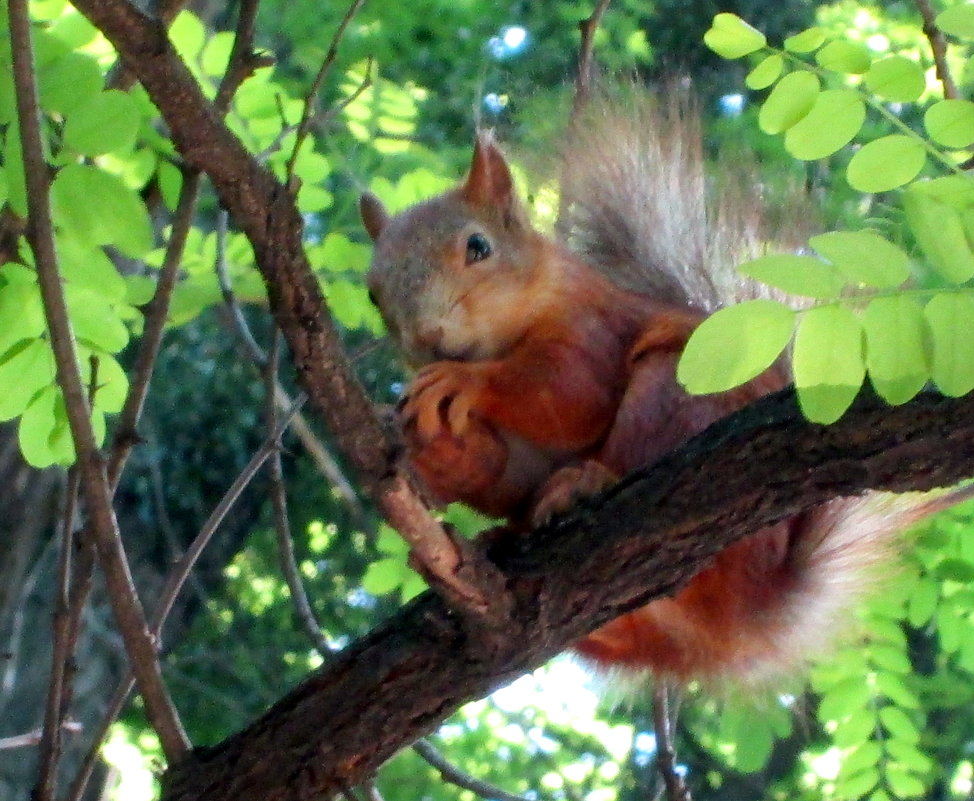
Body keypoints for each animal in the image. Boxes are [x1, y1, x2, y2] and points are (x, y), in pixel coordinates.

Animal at [362, 94, 972, 680]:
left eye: (478, 247)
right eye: (372, 291)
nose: (427, 338)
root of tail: (743, 619)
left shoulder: (593, 328)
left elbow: (568, 394)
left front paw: (462, 380)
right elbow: (498, 472)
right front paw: (430, 444)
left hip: (674, 395)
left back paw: (583, 483)